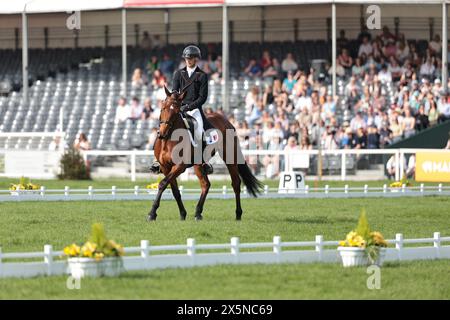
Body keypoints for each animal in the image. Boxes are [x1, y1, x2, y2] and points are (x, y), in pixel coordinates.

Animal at [148, 84, 262, 221]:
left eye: (176, 111)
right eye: (163, 108)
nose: (162, 133)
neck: (168, 140)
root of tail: (224, 119)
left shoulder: (179, 166)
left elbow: (163, 183)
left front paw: (152, 213)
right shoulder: (165, 167)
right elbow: (174, 190)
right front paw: (182, 214)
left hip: (230, 157)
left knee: (235, 183)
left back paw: (238, 214)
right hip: (198, 165)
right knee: (205, 184)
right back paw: (198, 213)